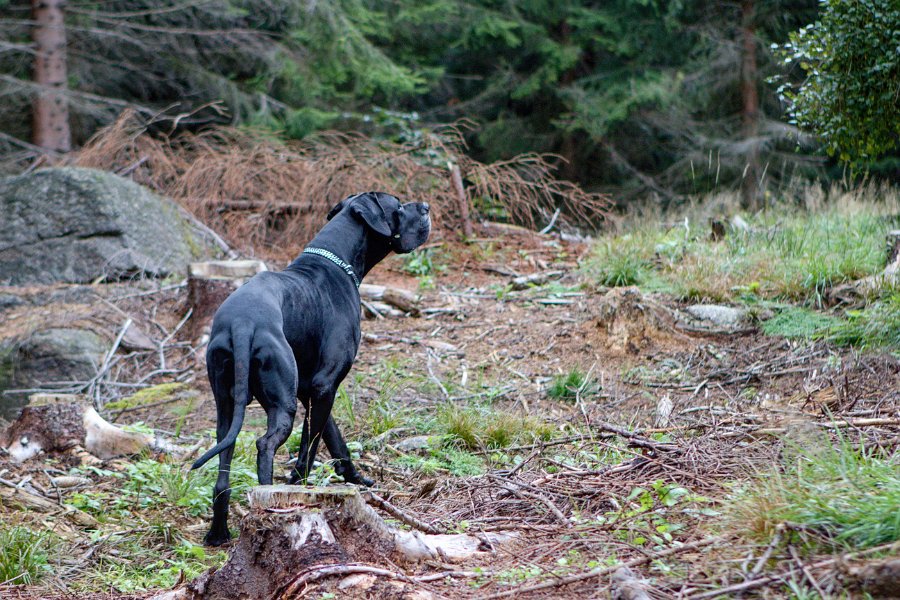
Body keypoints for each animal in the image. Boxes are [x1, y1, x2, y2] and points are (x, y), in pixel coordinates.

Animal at [192, 191, 430, 544]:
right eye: (398, 206)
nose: (426, 207)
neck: (335, 263)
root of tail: (242, 323)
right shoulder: (325, 385)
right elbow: (311, 448)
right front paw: (302, 489)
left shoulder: (313, 390)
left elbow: (334, 438)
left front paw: (356, 478)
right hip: (282, 402)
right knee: (264, 445)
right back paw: (268, 500)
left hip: (226, 405)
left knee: (225, 460)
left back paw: (218, 532)